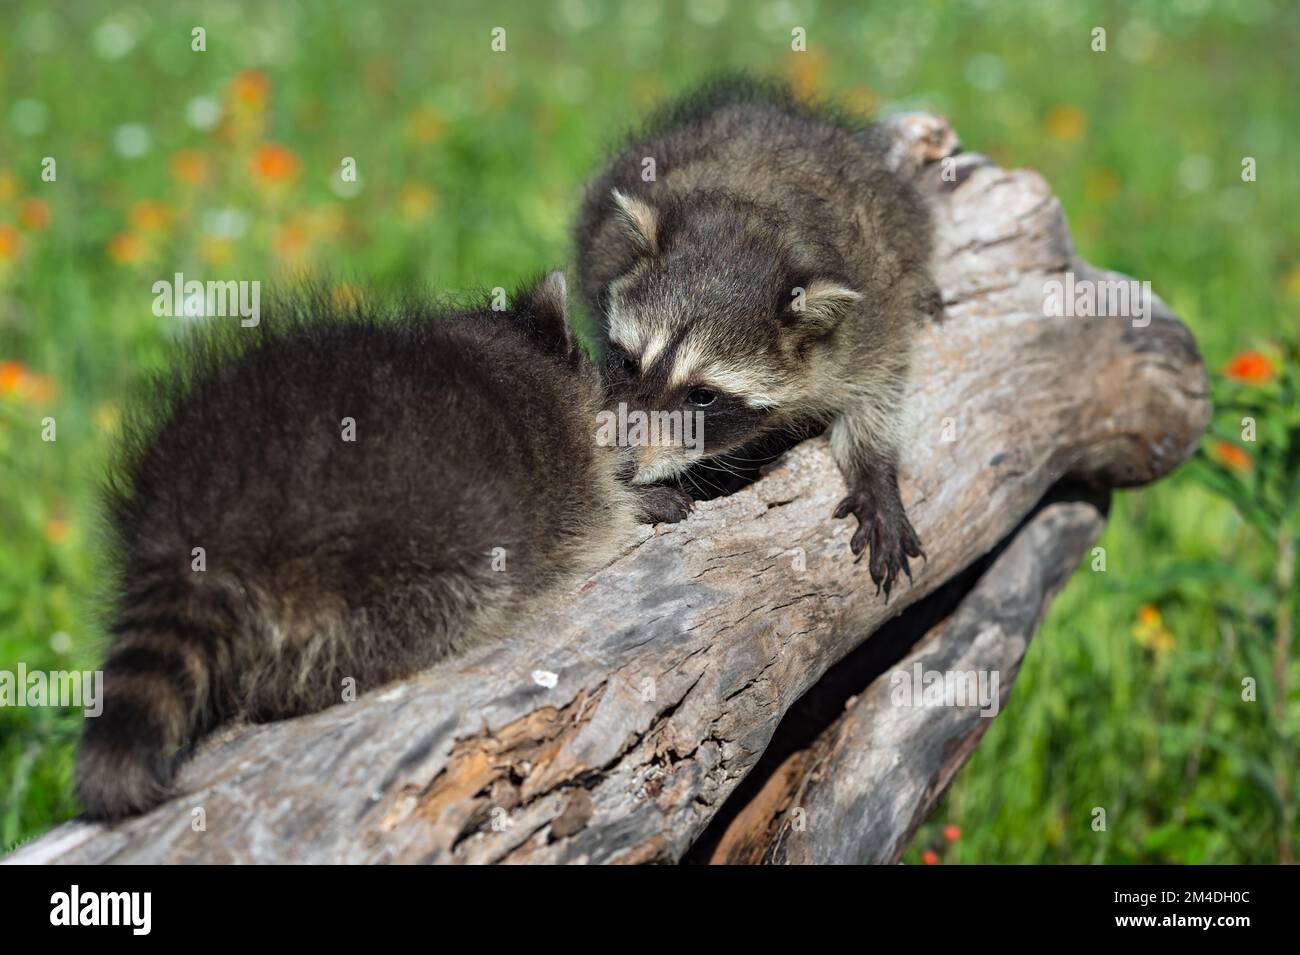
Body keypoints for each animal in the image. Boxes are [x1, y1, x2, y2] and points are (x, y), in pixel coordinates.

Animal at [76, 270, 681, 821]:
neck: (503, 343)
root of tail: (202, 509)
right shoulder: (567, 484)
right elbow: (599, 521)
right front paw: (636, 502)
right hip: (410, 539)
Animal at [574, 76, 941, 597]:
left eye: (702, 395)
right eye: (628, 362)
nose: (622, 465)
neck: (754, 223)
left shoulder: (870, 322)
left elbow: (876, 393)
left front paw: (875, 472)